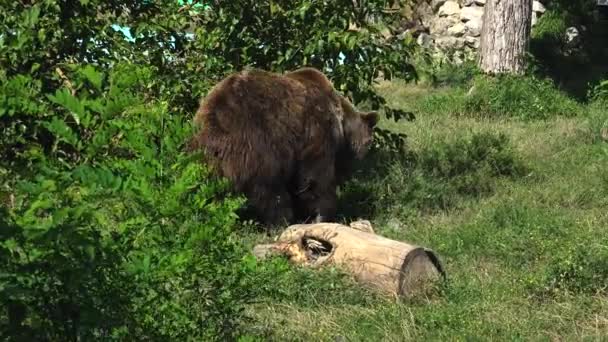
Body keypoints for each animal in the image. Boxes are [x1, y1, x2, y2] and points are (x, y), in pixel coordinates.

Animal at [188, 67, 378, 227]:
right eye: (368, 143)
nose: (354, 167)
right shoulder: (317, 129)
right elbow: (315, 176)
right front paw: (323, 215)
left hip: (204, 159)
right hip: (255, 141)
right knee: (269, 188)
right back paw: (282, 220)